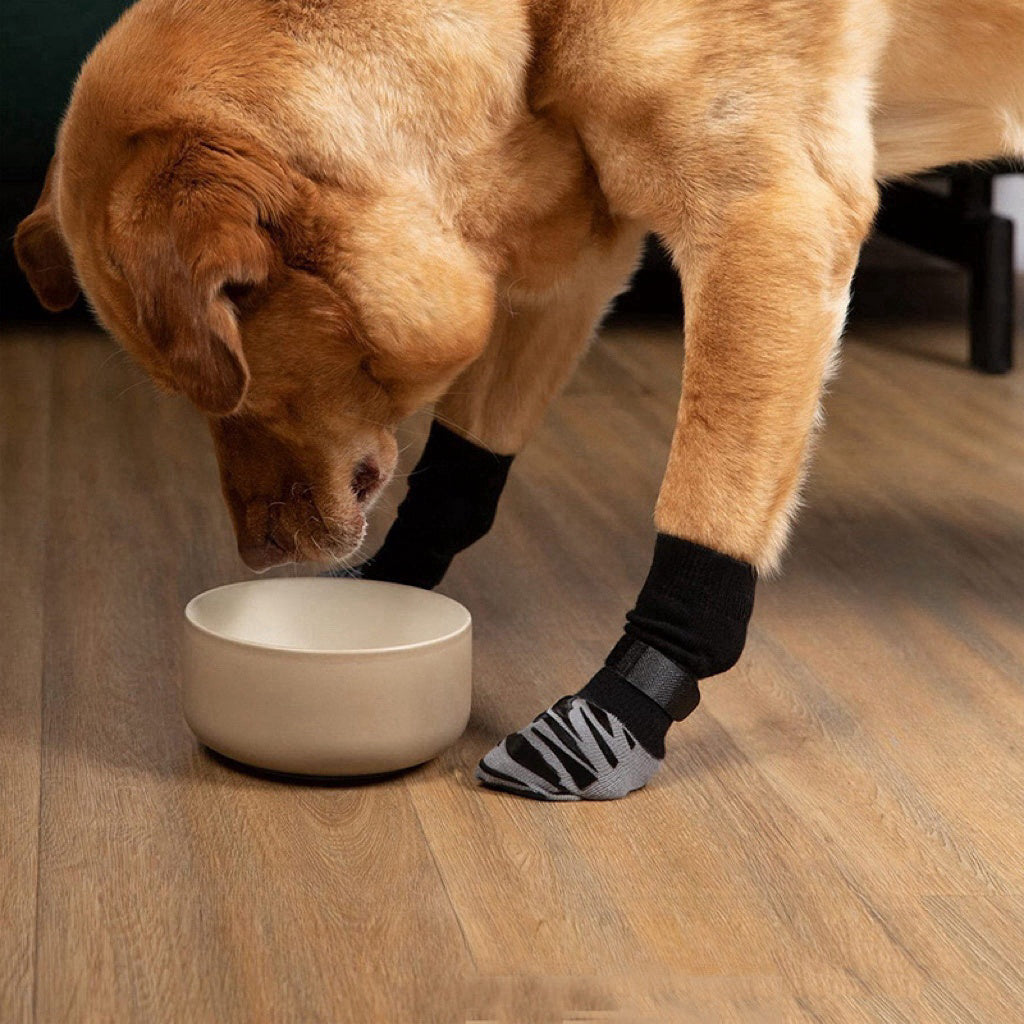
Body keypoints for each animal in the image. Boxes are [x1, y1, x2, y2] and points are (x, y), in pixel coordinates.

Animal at [14, 0, 1024, 798]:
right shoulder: (575, 253)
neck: (538, 25)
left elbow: (704, 510)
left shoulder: (768, 219)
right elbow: (462, 473)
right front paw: (388, 592)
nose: (259, 556)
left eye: (228, 394)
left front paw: (619, 712)